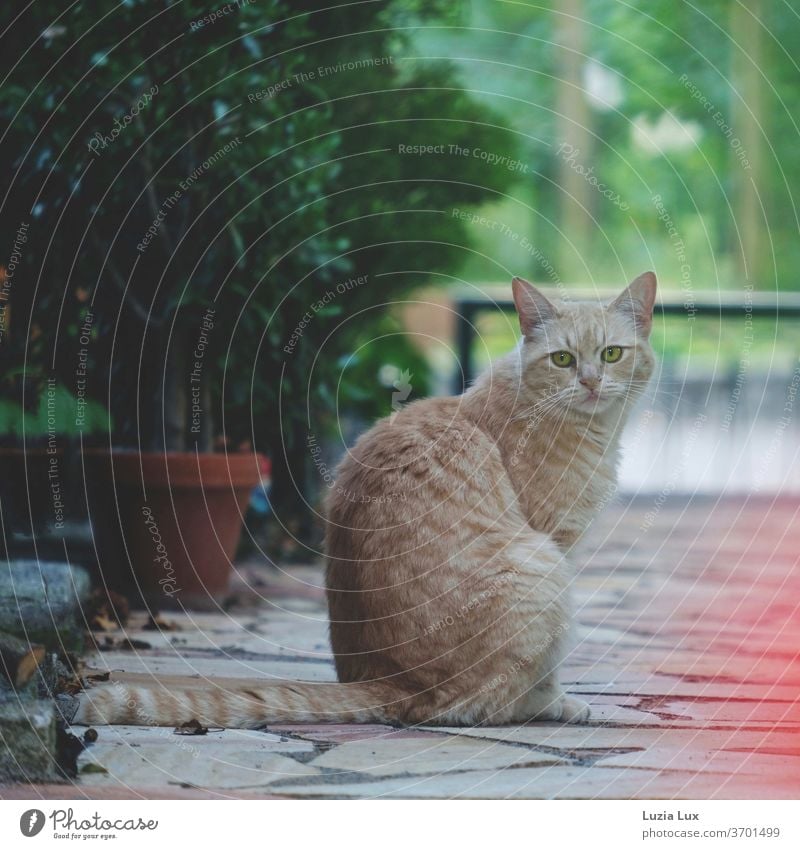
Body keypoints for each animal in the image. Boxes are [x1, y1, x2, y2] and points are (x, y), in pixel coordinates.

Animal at [76, 274, 656, 728]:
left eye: (611, 354)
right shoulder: (556, 541)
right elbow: (549, 667)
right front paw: (561, 700)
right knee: (493, 703)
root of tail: (390, 683)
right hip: (540, 567)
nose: (590, 382)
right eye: (562, 359)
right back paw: (546, 706)